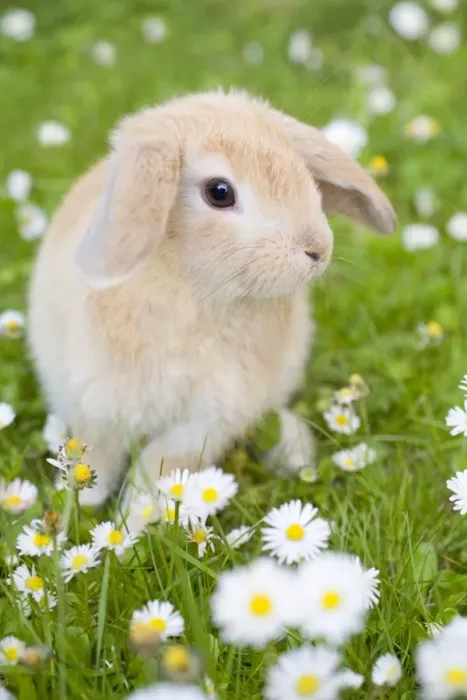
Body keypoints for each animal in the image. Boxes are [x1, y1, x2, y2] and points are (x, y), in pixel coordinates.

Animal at [28, 89, 396, 507]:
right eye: (219, 192)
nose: (318, 250)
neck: (196, 291)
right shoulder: (97, 403)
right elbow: (95, 456)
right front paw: (81, 504)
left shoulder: (208, 419)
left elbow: (162, 467)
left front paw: (140, 513)